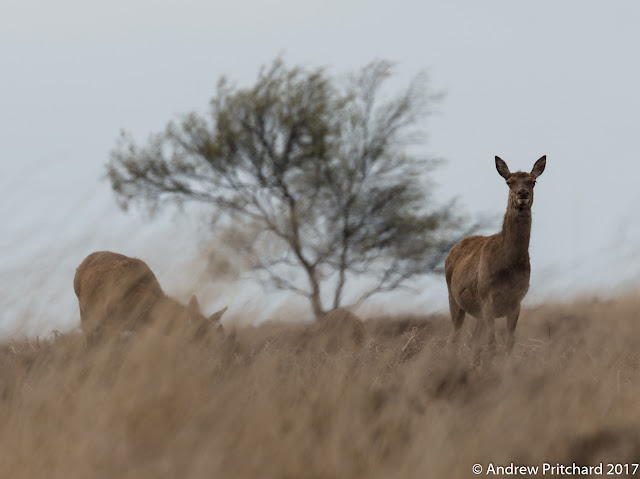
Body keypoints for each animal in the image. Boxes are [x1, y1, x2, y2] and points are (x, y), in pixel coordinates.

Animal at [444, 156, 544, 350]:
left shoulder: (517, 300)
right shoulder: (486, 297)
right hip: (453, 298)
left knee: (473, 339)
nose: (522, 193)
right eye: (509, 182)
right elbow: (492, 342)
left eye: (533, 181)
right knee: (454, 337)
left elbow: (510, 342)